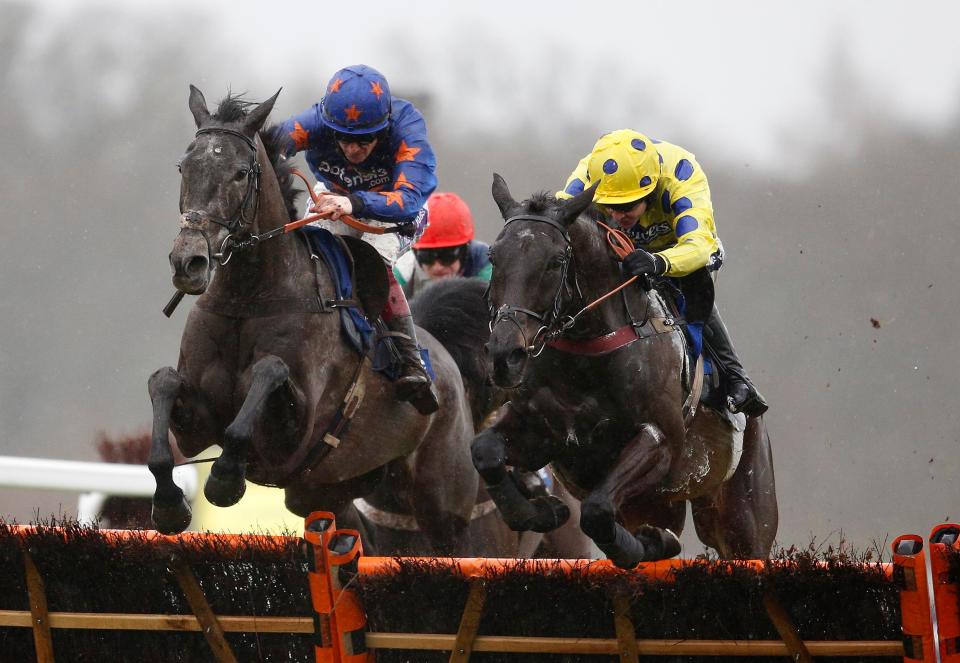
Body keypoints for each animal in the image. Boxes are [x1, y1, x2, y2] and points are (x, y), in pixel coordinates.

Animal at [148, 88, 480, 556]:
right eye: (185, 167)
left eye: (239, 173)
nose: (188, 261)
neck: (250, 300)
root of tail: (448, 362)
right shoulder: (197, 420)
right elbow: (163, 382)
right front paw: (168, 503)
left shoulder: (295, 437)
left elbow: (268, 372)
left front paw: (226, 477)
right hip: (331, 490)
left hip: (445, 506)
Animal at [472, 174, 780, 568]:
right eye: (495, 257)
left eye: (555, 261)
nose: (504, 355)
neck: (586, 358)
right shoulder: (543, 433)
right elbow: (485, 451)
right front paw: (543, 511)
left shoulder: (661, 444)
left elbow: (597, 510)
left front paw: (641, 545)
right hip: (656, 505)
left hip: (742, 515)